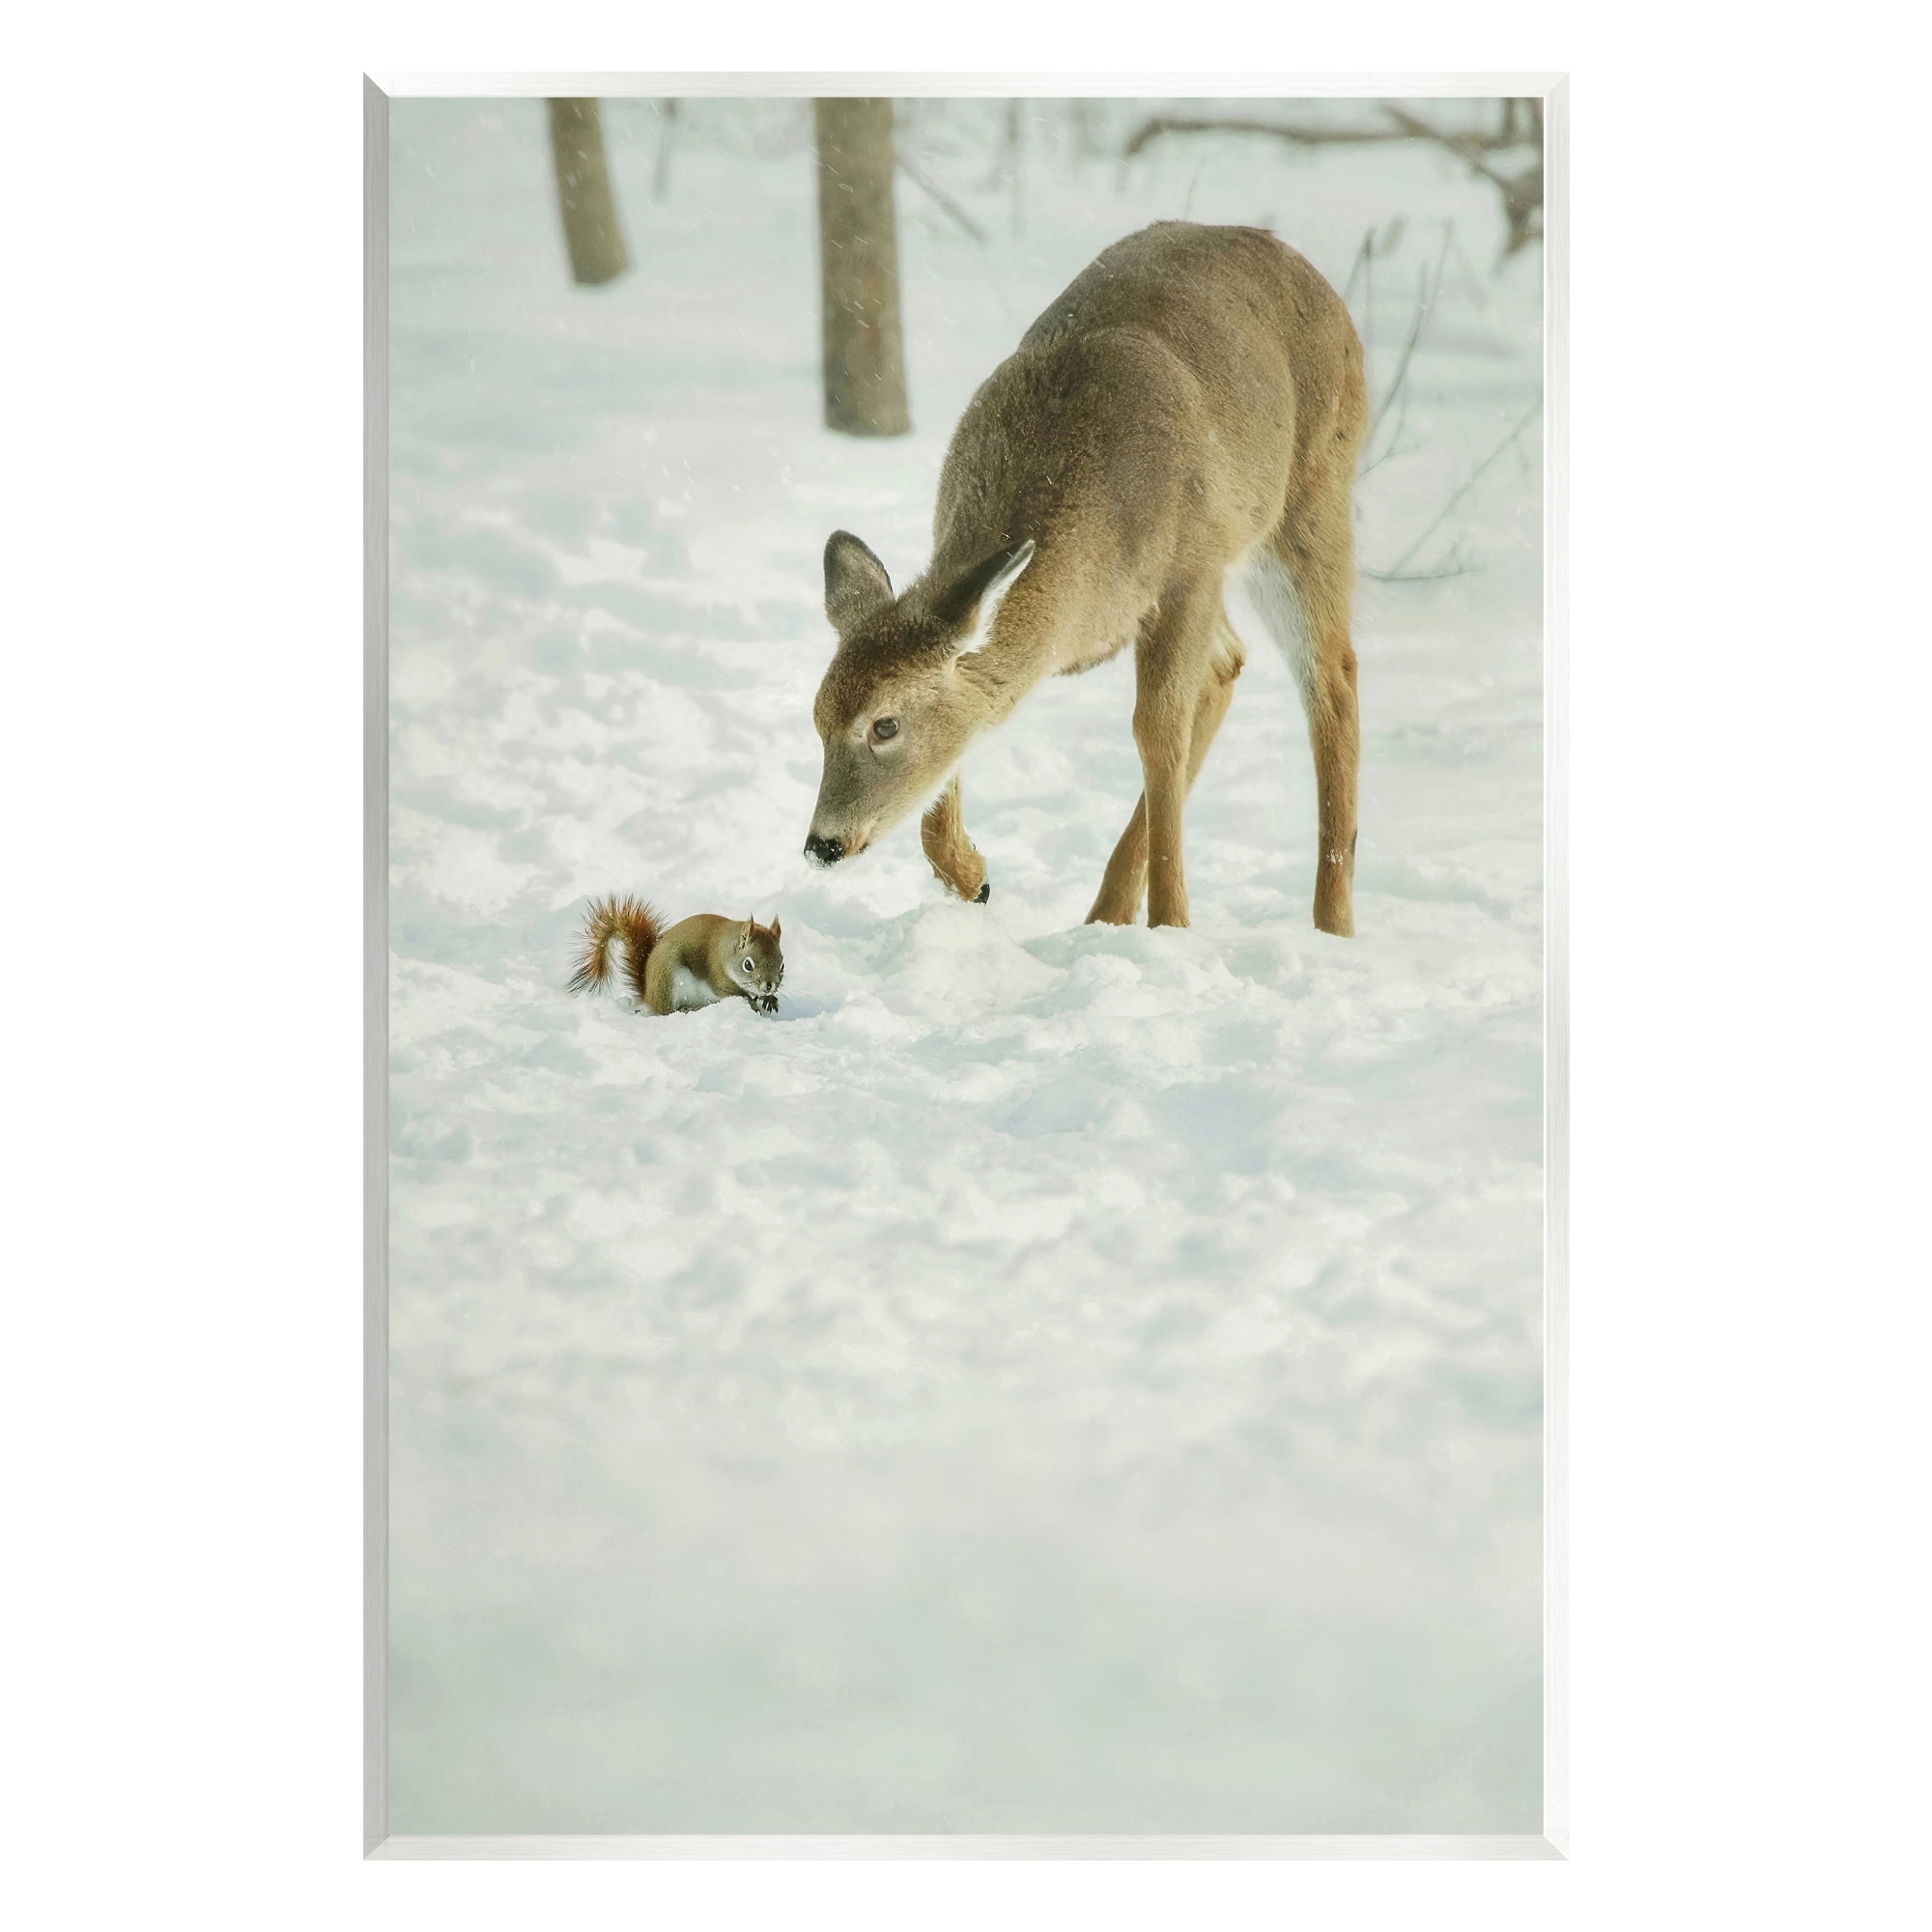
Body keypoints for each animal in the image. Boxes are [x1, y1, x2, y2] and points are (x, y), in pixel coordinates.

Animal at [569, 895, 784, 1016]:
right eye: (748, 965)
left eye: (782, 965)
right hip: (669, 980)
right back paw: (689, 1009)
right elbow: (731, 991)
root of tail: (649, 996)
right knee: (666, 1011)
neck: (726, 950)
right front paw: (751, 1003)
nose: (769, 986)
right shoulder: (717, 975)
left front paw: (770, 999)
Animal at [804, 220, 1367, 935]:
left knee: (1331, 675)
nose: (822, 844)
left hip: (1309, 500)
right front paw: (973, 877)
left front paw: (1172, 926)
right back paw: (1105, 912)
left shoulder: (1191, 570)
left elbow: (1157, 735)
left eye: (884, 725)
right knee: (1230, 663)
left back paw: (1331, 925)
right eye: (817, 717)